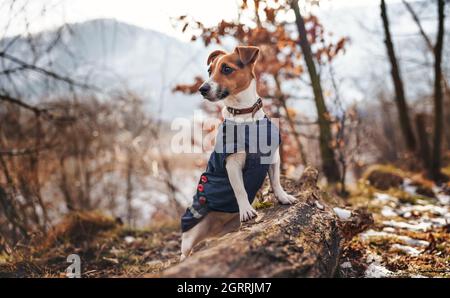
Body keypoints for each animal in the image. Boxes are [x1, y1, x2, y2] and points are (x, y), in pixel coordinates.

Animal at [178, 45, 298, 262]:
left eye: (226, 69)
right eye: (209, 71)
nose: (202, 89)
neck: (246, 114)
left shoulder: (273, 157)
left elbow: (276, 181)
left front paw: (283, 197)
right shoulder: (232, 164)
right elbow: (240, 189)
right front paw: (246, 210)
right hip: (192, 231)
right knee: (185, 250)